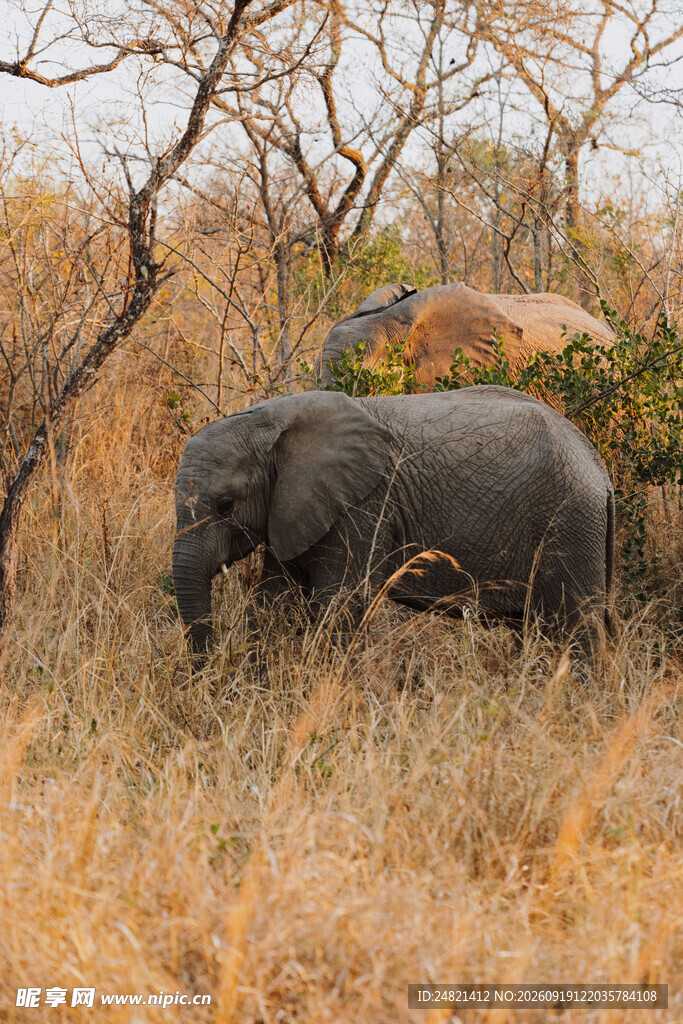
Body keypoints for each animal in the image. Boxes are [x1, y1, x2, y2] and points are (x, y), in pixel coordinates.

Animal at [172, 387, 614, 658]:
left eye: (226, 506)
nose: (207, 668)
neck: (270, 418)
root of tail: (601, 472)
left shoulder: (364, 505)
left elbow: (338, 604)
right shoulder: (294, 507)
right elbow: (274, 601)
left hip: (570, 521)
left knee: (577, 627)